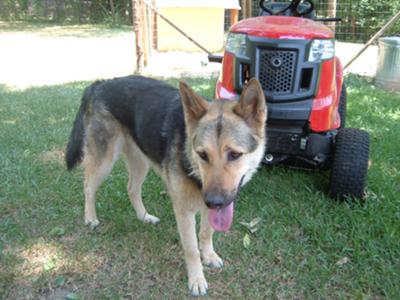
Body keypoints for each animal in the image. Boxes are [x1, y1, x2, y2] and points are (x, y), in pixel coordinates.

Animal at [65, 75, 266, 296]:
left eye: (235, 154)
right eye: (203, 154)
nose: (214, 201)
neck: (190, 161)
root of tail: (101, 83)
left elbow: (206, 233)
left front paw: (209, 256)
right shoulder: (184, 212)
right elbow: (191, 249)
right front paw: (196, 279)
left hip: (140, 161)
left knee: (131, 189)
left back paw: (144, 216)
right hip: (105, 162)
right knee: (88, 186)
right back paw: (90, 218)